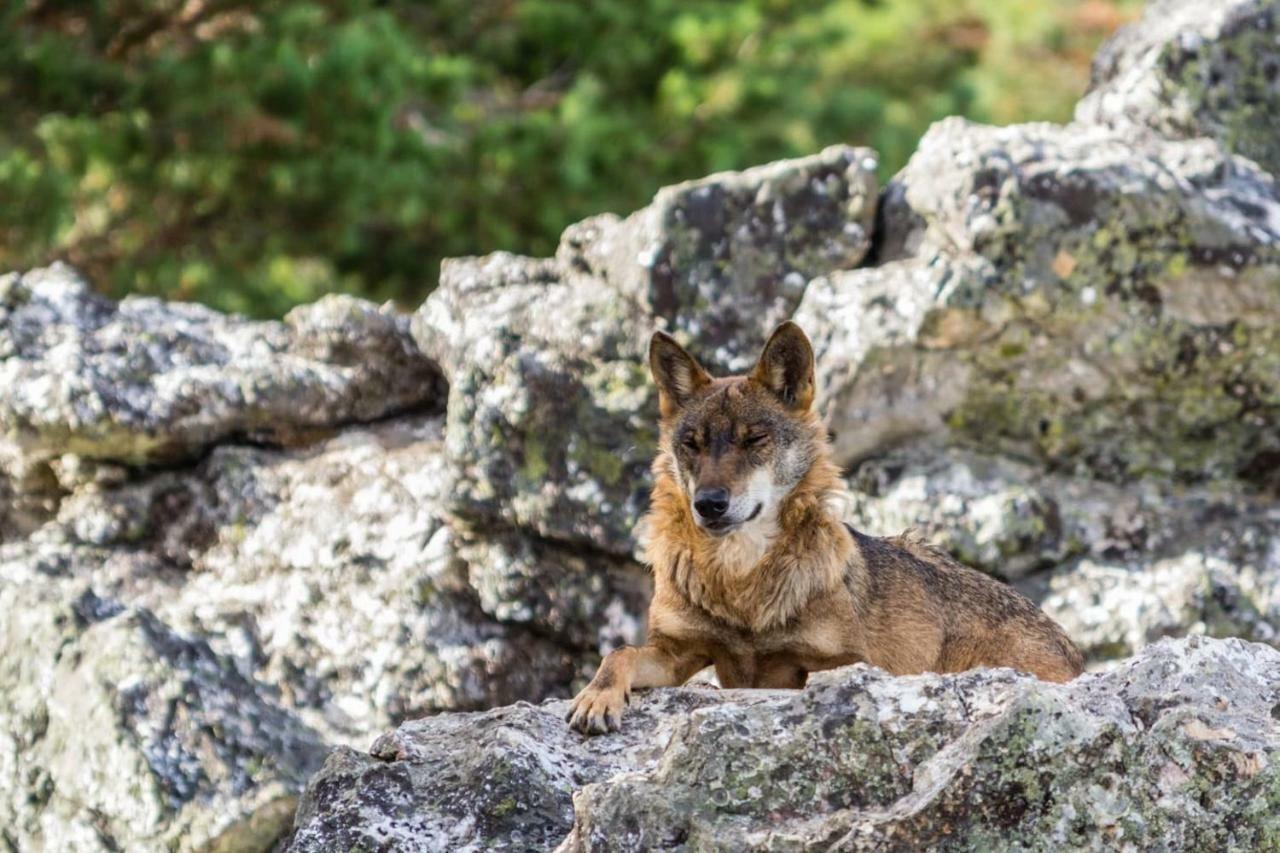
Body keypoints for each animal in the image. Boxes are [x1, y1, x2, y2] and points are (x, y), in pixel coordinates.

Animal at [570, 318, 1080, 732]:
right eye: (692, 444)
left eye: (755, 439)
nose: (709, 504)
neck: (741, 584)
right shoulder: (680, 652)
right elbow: (619, 653)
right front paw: (596, 698)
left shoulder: (854, 662)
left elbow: (821, 672)